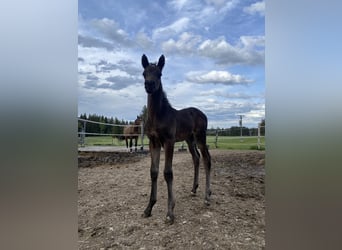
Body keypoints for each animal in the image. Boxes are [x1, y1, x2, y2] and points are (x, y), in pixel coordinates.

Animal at [141, 53, 211, 224]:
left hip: (200, 137)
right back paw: (194, 190)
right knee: (196, 158)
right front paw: (148, 208)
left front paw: (170, 212)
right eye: (144, 73)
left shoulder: (169, 141)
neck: (158, 116)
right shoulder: (154, 142)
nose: (149, 85)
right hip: (189, 139)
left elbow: (168, 173)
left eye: (159, 74)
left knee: (206, 159)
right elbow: (153, 172)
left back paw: (207, 197)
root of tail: (203, 114)